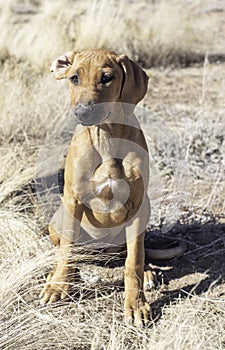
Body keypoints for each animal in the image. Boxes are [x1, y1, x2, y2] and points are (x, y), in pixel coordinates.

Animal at [39, 48, 151, 326]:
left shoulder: (138, 204)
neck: (106, 136)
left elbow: (134, 260)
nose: (83, 113)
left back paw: (149, 272)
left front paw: (136, 304)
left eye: (107, 78)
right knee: (65, 250)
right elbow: (66, 252)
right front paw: (58, 285)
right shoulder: (73, 200)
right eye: (74, 78)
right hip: (59, 218)